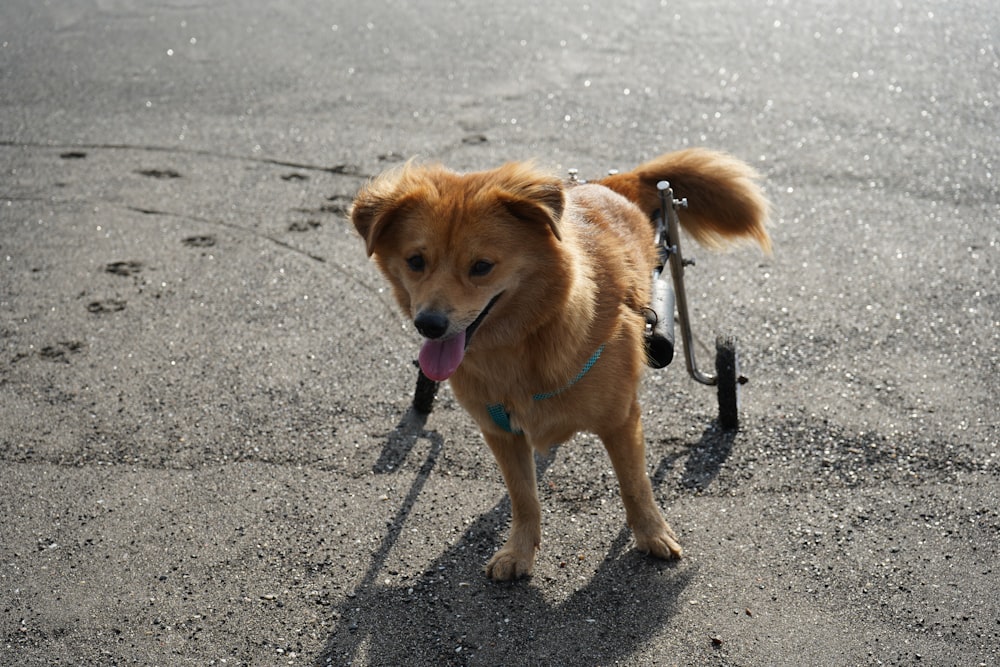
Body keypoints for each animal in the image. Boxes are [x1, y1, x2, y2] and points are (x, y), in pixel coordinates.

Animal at [354, 150, 772, 580]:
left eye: (482, 266)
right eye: (415, 261)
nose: (429, 325)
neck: (522, 344)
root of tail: (611, 184)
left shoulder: (621, 421)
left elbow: (634, 485)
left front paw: (651, 533)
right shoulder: (500, 432)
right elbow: (523, 496)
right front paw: (519, 551)